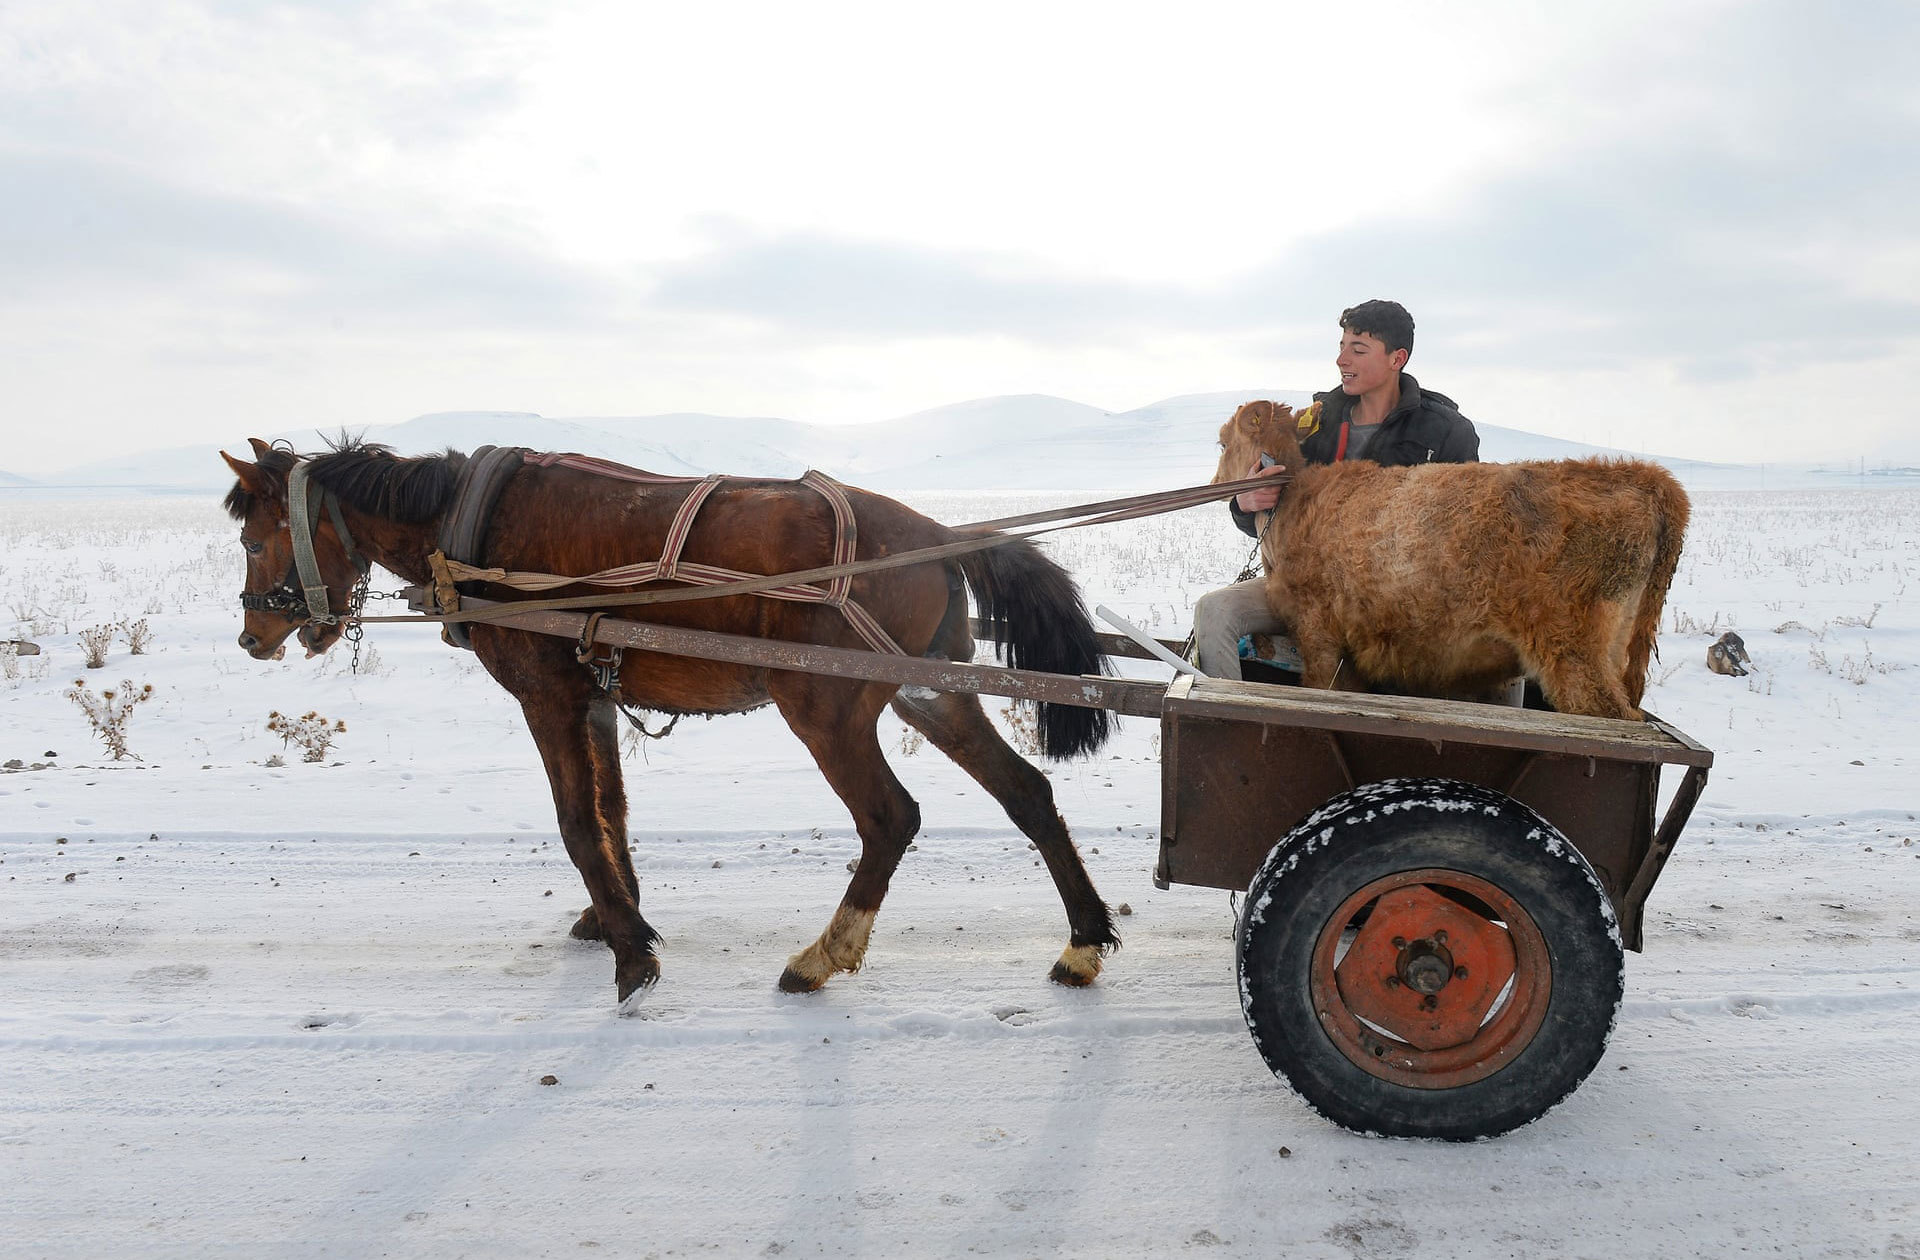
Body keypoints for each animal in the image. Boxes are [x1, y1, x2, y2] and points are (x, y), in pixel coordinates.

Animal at [220, 437, 1121, 1006]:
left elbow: (575, 823)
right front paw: (616, 918)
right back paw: (1081, 943)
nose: (252, 635)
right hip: (929, 692)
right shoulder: (590, 693)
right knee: (1026, 793)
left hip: (825, 706)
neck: (468, 527)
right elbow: (611, 811)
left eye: (256, 539)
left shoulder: (545, 696)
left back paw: (820, 958)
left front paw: (630, 957)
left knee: (890, 818)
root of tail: (937, 533)